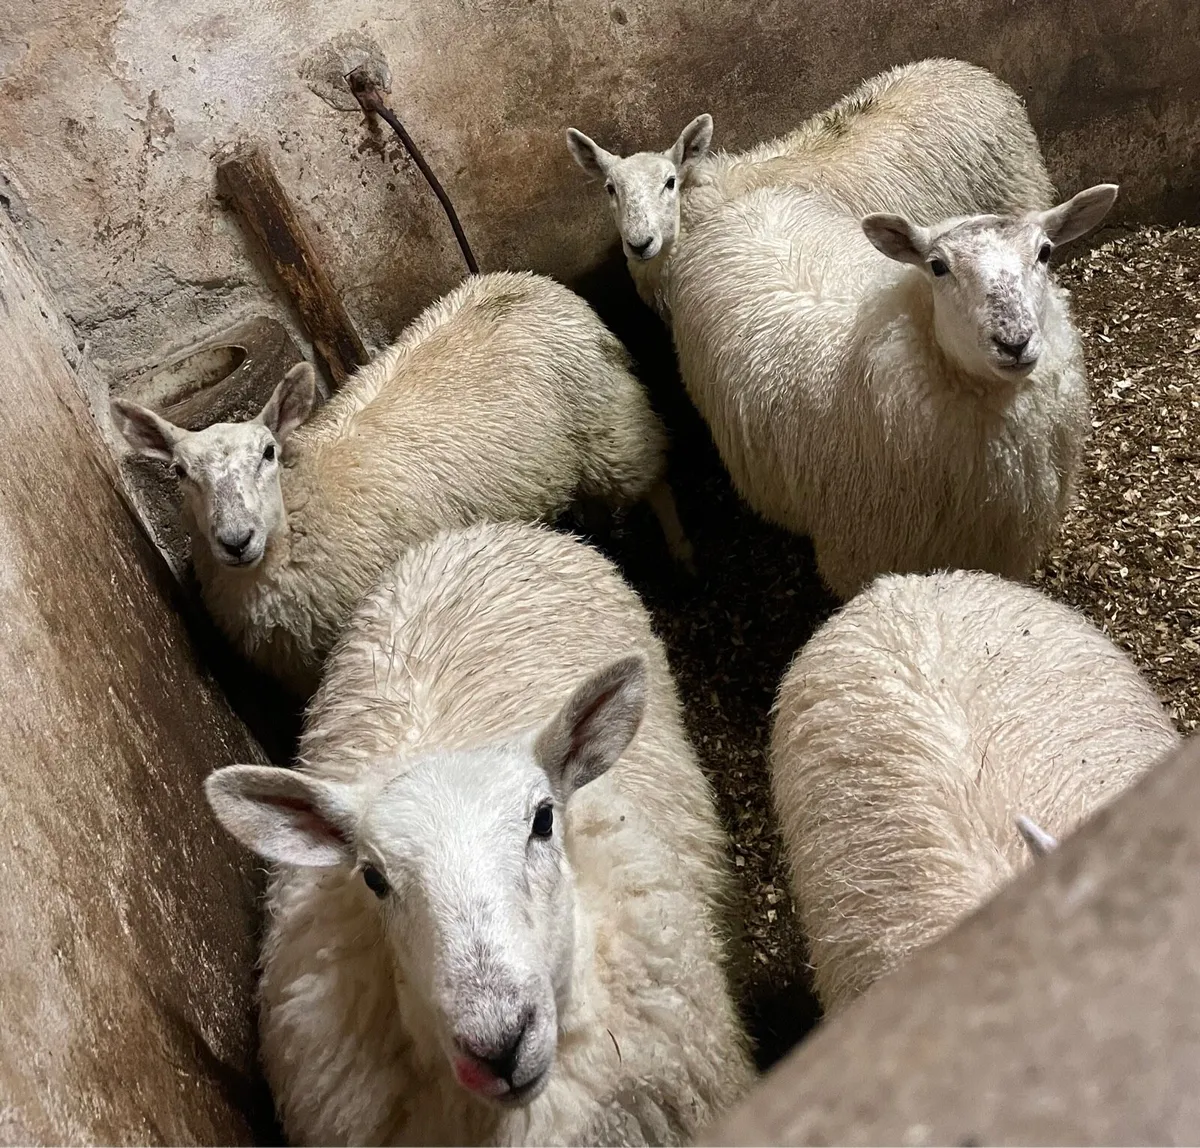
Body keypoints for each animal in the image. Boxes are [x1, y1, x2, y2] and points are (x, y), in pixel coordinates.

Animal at [111, 271, 691, 696]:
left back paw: (682, 554)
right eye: (180, 472)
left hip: (611, 425)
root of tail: (532, 282)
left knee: (656, 480)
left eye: (268, 453)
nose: (236, 540)